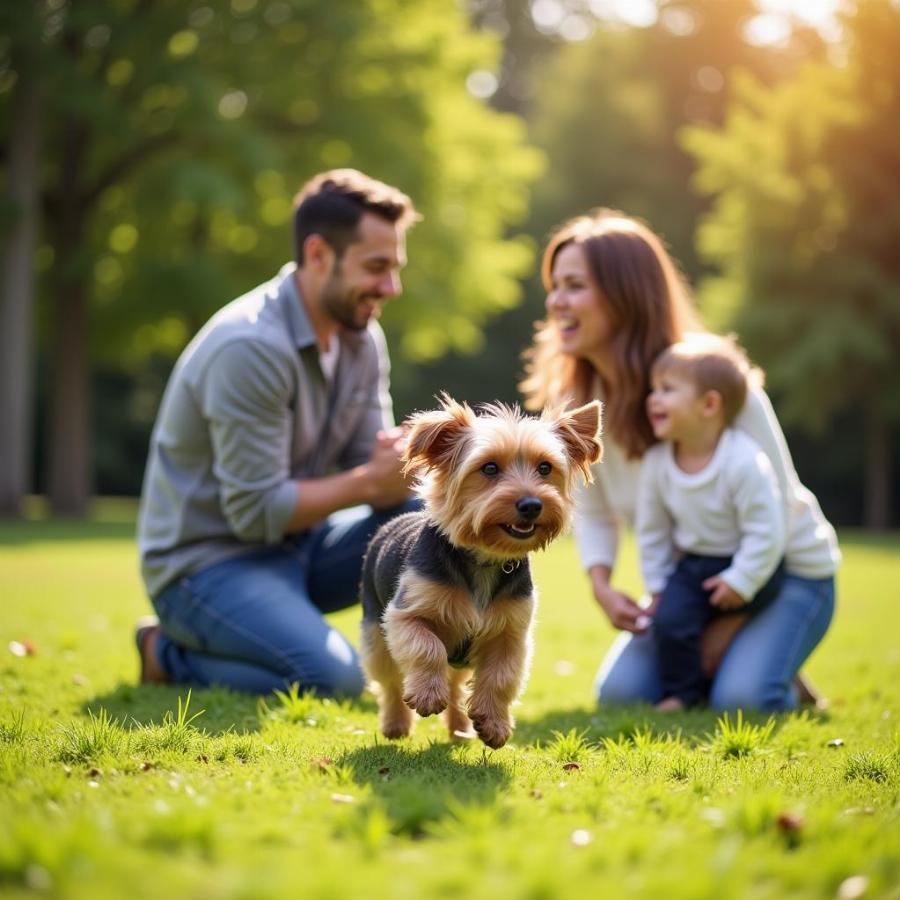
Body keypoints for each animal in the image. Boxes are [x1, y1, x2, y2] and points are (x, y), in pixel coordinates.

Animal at [356, 394, 596, 744]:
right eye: (489, 468)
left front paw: (494, 725)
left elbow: (501, 677)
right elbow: (427, 648)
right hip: (375, 629)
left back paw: (460, 728)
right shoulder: (404, 615)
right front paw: (427, 696)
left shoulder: (511, 632)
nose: (531, 505)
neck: (485, 558)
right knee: (389, 681)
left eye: (545, 468)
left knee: (455, 687)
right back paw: (396, 724)